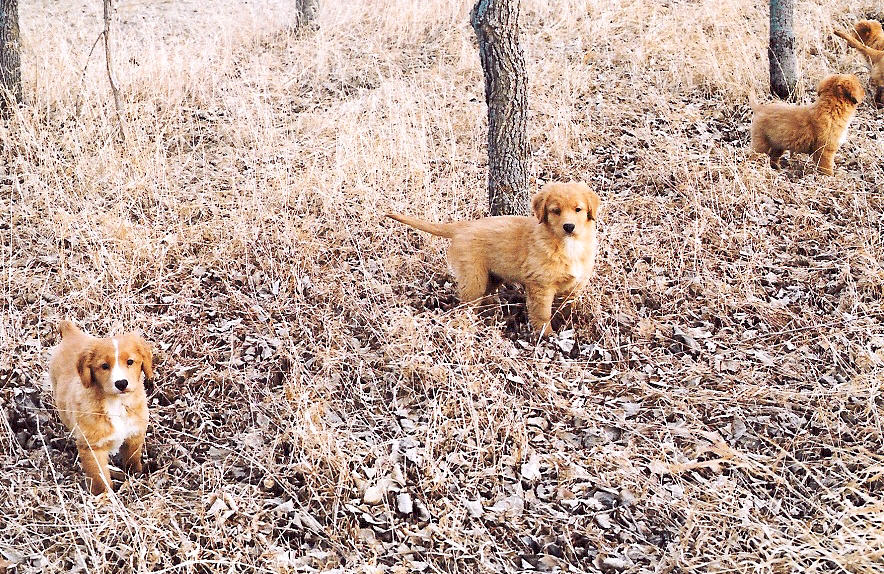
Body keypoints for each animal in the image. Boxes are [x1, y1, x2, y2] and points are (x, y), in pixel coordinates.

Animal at [386, 182, 600, 338]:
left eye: (578, 209)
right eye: (555, 211)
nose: (569, 226)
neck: (567, 245)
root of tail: (462, 226)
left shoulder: (575, 285)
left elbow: (565, 307)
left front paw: (564, 324)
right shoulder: (540, 286)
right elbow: (542, 313)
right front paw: (546, 335)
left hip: (493, 275)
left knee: (486, 296)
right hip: (473, 278)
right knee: (467, 305)